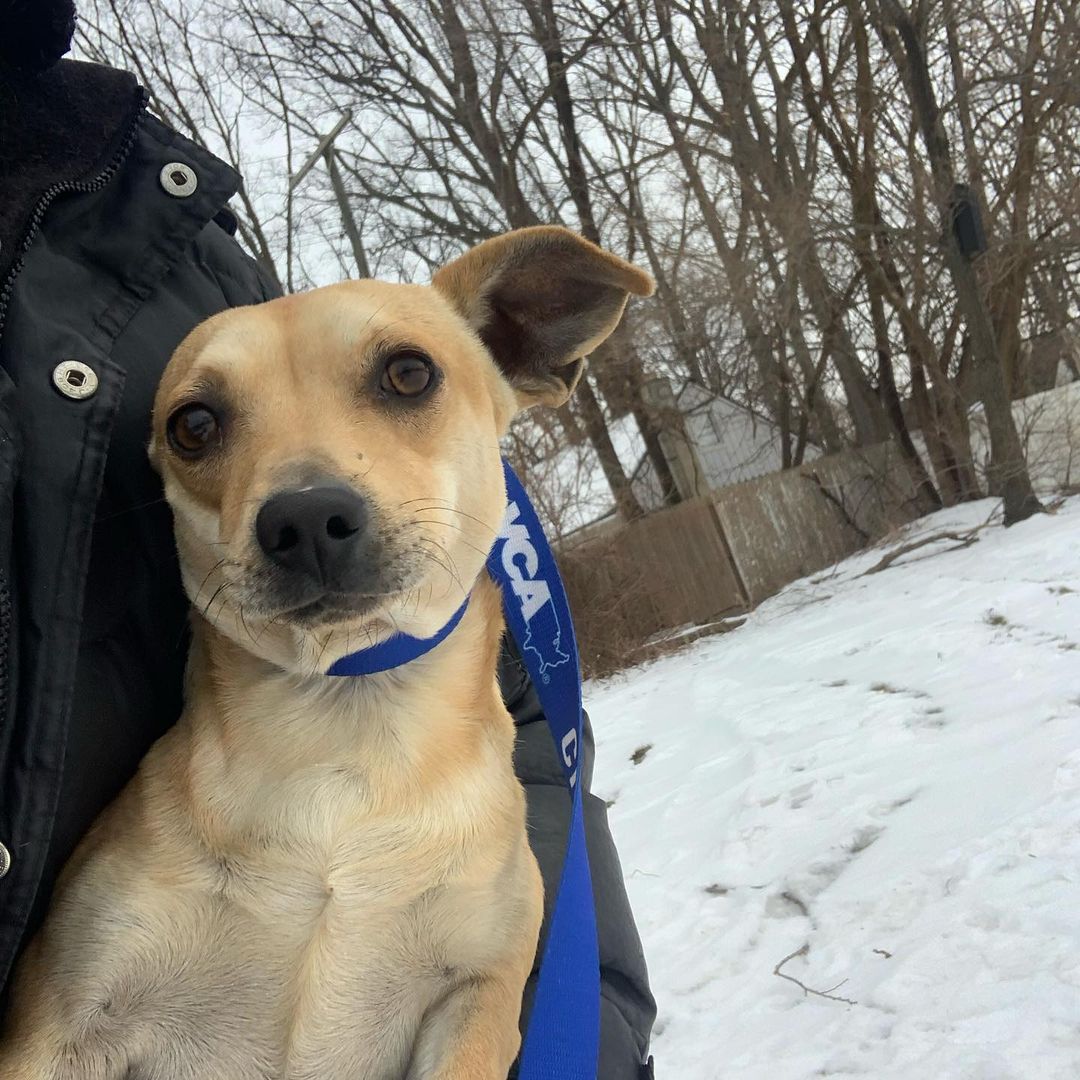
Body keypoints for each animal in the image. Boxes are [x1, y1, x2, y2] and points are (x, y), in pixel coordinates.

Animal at [0, 230, 652, 1080]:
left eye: (409, 372)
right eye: (193, 424)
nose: (305, 518)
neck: (345, 733)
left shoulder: (475, 998)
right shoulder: (63, 1020)